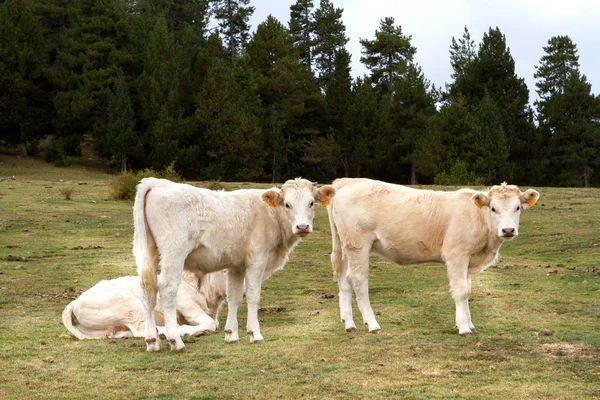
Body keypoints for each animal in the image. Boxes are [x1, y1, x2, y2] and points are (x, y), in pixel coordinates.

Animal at [62, 270, 227, 340]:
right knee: (142, 330)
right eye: (224, 271)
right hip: (132, 307)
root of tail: (75, 302)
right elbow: (211, 323)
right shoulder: (187, 305)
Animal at [326, 180, 540, 336]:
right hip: (358, 244)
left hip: (347, 246)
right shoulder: (456, 255)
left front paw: (470, 324)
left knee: (344, 279)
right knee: (358, 280)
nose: (508, 230)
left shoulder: (468, 259)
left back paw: (349, 323)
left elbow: (468, 292)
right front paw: (463, 328)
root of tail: (345, 186)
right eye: (493, 208)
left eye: (518, 208)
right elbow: (461, 291)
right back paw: (372, 323)